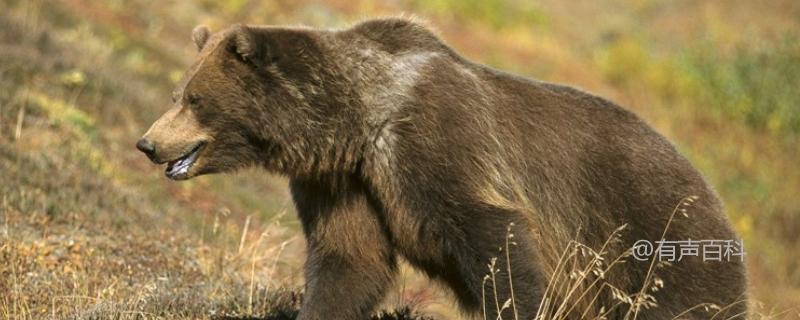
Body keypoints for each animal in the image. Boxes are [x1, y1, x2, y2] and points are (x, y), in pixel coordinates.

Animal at [139, 18, 752, 318]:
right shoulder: (345, 181)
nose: (147, 143)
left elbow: (495, 240)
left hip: (654, 238)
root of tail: (713, 190)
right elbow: (348, 260)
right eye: (178, 92)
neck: (355, 118)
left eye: (193, 98)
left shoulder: (433, 143)